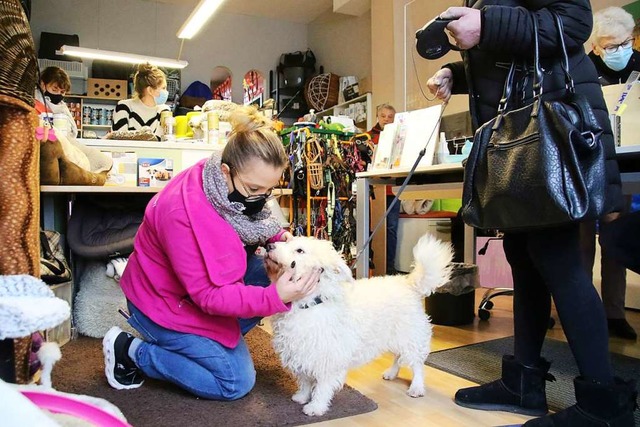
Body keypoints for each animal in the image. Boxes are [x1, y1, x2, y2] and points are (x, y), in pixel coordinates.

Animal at [262, 232, 452, 416]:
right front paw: (302, 396)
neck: (311, 303)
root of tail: (407, 282)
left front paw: (316, 407)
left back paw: (417, 387)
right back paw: (391, 373)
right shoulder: (300, 353)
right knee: (398, 357)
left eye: (300, 250)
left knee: (417, 364)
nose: (268, 246)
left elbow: (322, 386)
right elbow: (305, 380)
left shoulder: (327, 358)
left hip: (410, 336)